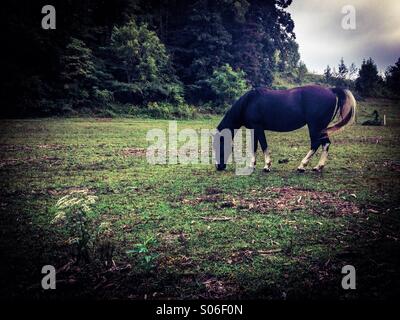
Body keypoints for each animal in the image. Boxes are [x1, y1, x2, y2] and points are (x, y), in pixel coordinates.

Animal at [212, 84, 356, 171]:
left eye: (219, 145)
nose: (219, 167)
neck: (248, 102)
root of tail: (331, 90)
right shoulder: (254, 129)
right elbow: (254, 146)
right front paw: (252, 165)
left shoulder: (258, 127)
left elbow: (263, 145)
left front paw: (267, 165)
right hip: (321, 128)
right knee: (325, 144)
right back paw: (318, 167)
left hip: (315, 126)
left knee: (316, 143)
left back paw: (302, 166)